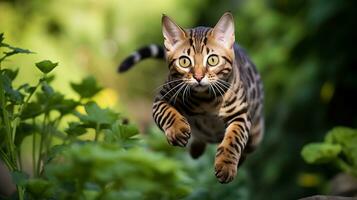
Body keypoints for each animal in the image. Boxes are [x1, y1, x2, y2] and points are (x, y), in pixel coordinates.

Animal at [118, 12, 262, 184]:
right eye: (184, 61)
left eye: (212, 59)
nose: (198, 77)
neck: (206, 99)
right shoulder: (161, 98)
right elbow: (167, 113)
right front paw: (177, 130)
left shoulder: (240, 115)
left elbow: (234, 139)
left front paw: (226, 165)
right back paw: (195, 149)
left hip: (256, 136)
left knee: (246, 148)